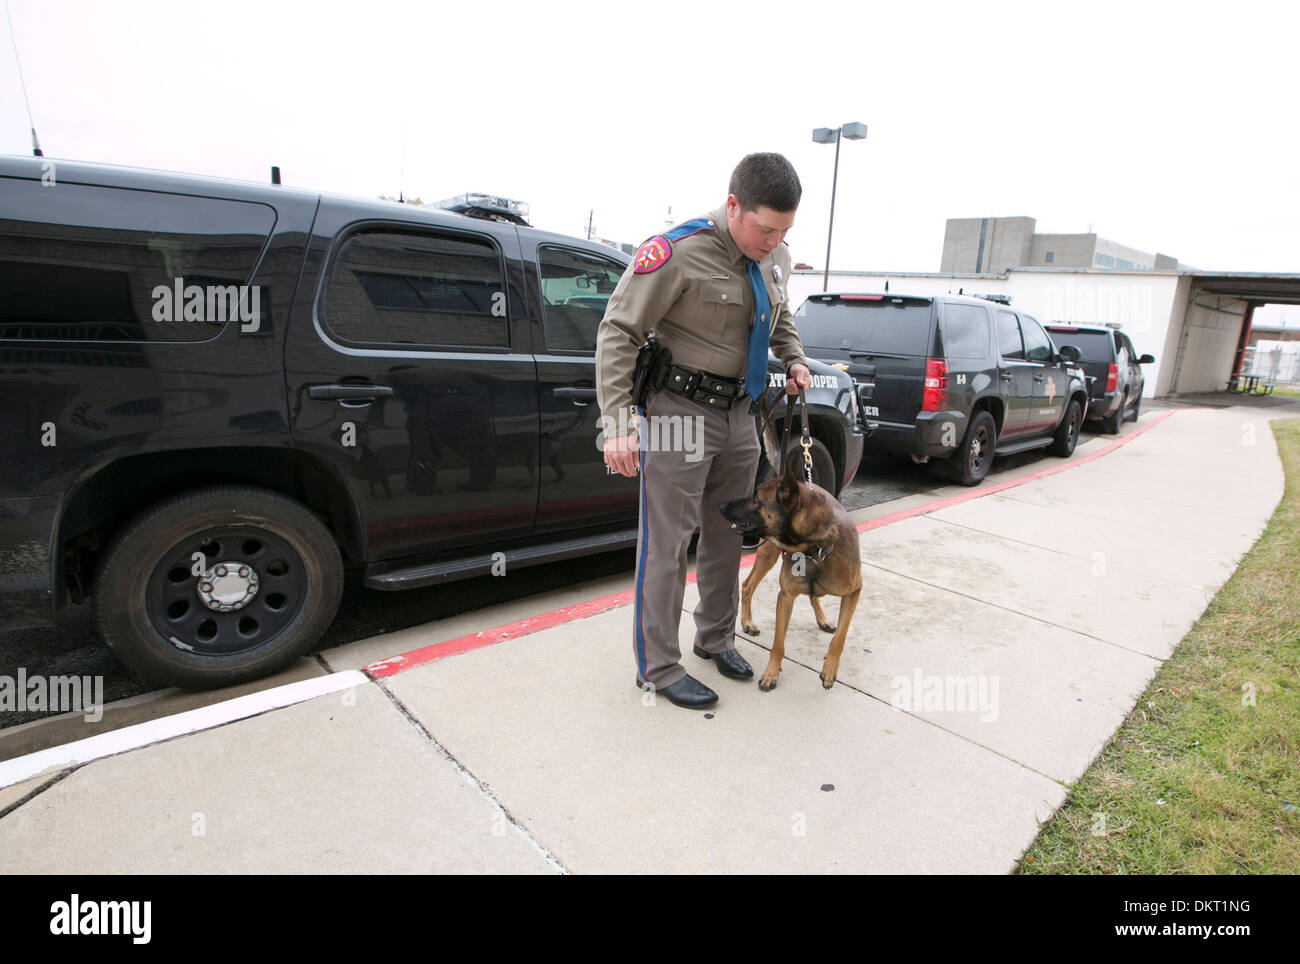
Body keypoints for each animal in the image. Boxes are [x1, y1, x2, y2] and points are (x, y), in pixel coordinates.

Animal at [722, 454, 863, 696]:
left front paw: (829, 670)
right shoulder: (785, 597)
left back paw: (823, 620)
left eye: (756, 498)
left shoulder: (854, 591)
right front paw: (771, 674)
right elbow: (778, 644)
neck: (814, 548)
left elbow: (840, 637)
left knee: (814, 596)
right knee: (748, 585)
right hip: (767, 554)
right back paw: (748, 622)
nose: (721, 505)